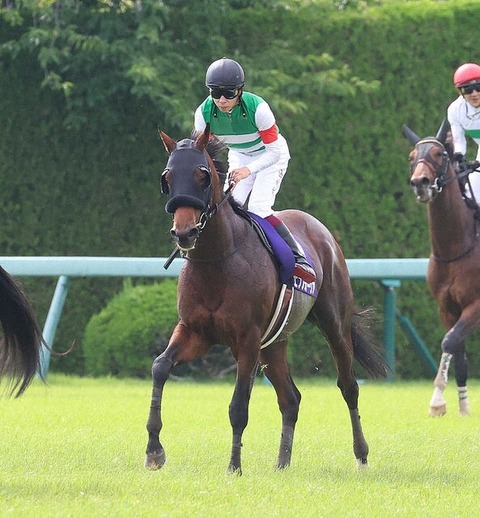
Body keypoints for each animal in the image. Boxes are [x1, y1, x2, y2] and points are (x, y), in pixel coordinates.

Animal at [145, 127, 386, 476]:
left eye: (202, 176)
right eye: (167, 177)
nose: (184, 233)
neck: (217, 260)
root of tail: (320, 230)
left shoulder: (247, 339)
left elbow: (238, 406)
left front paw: (234, 466)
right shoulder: (195, 332)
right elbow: (160, 366)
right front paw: (154, 450)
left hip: (334, 325)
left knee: (348, 386)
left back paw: (361, 455)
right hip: (273, 344)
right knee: (290, 398)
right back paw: (282, 462)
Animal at [404, 121, 480, 418]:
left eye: (440, 155)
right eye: (412, 157)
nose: (420, 183)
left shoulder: (476, 304)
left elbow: (448, 341)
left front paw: (437, 401)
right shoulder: (447, 307)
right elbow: (458, 352)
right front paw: (463, 406)